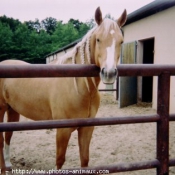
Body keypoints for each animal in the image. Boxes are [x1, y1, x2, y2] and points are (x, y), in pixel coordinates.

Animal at [0, 6, 126, 172]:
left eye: (121, 41)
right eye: (98, 39)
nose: (109, 73)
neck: (78, 87)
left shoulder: (86, 128)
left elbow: (85, 160)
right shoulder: (62, 131)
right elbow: (60, 160)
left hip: (13, 110)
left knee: (8, 135)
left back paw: (8, 164)